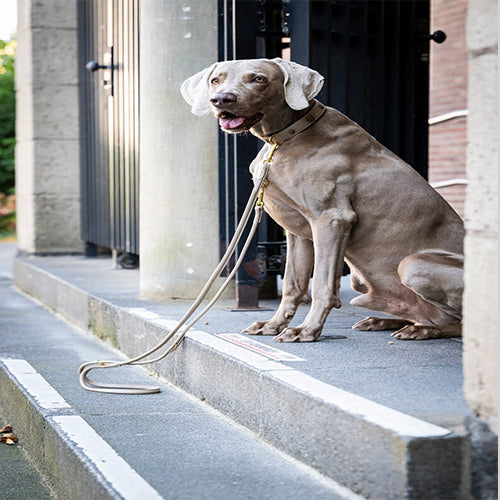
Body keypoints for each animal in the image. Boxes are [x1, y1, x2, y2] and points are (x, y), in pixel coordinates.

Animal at [180, 56, 464, 342]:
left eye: (258, 79)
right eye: (216, 80)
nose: (221, 99)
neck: (284, 139)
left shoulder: (332, 220)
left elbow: (322, 285)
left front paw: (307, 330)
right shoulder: (298, 231)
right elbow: (293, 284)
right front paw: (274, 325)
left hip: (412, 264)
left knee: (460, 322)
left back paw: (423, 329)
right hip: (363, 280)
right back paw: (383, 321)